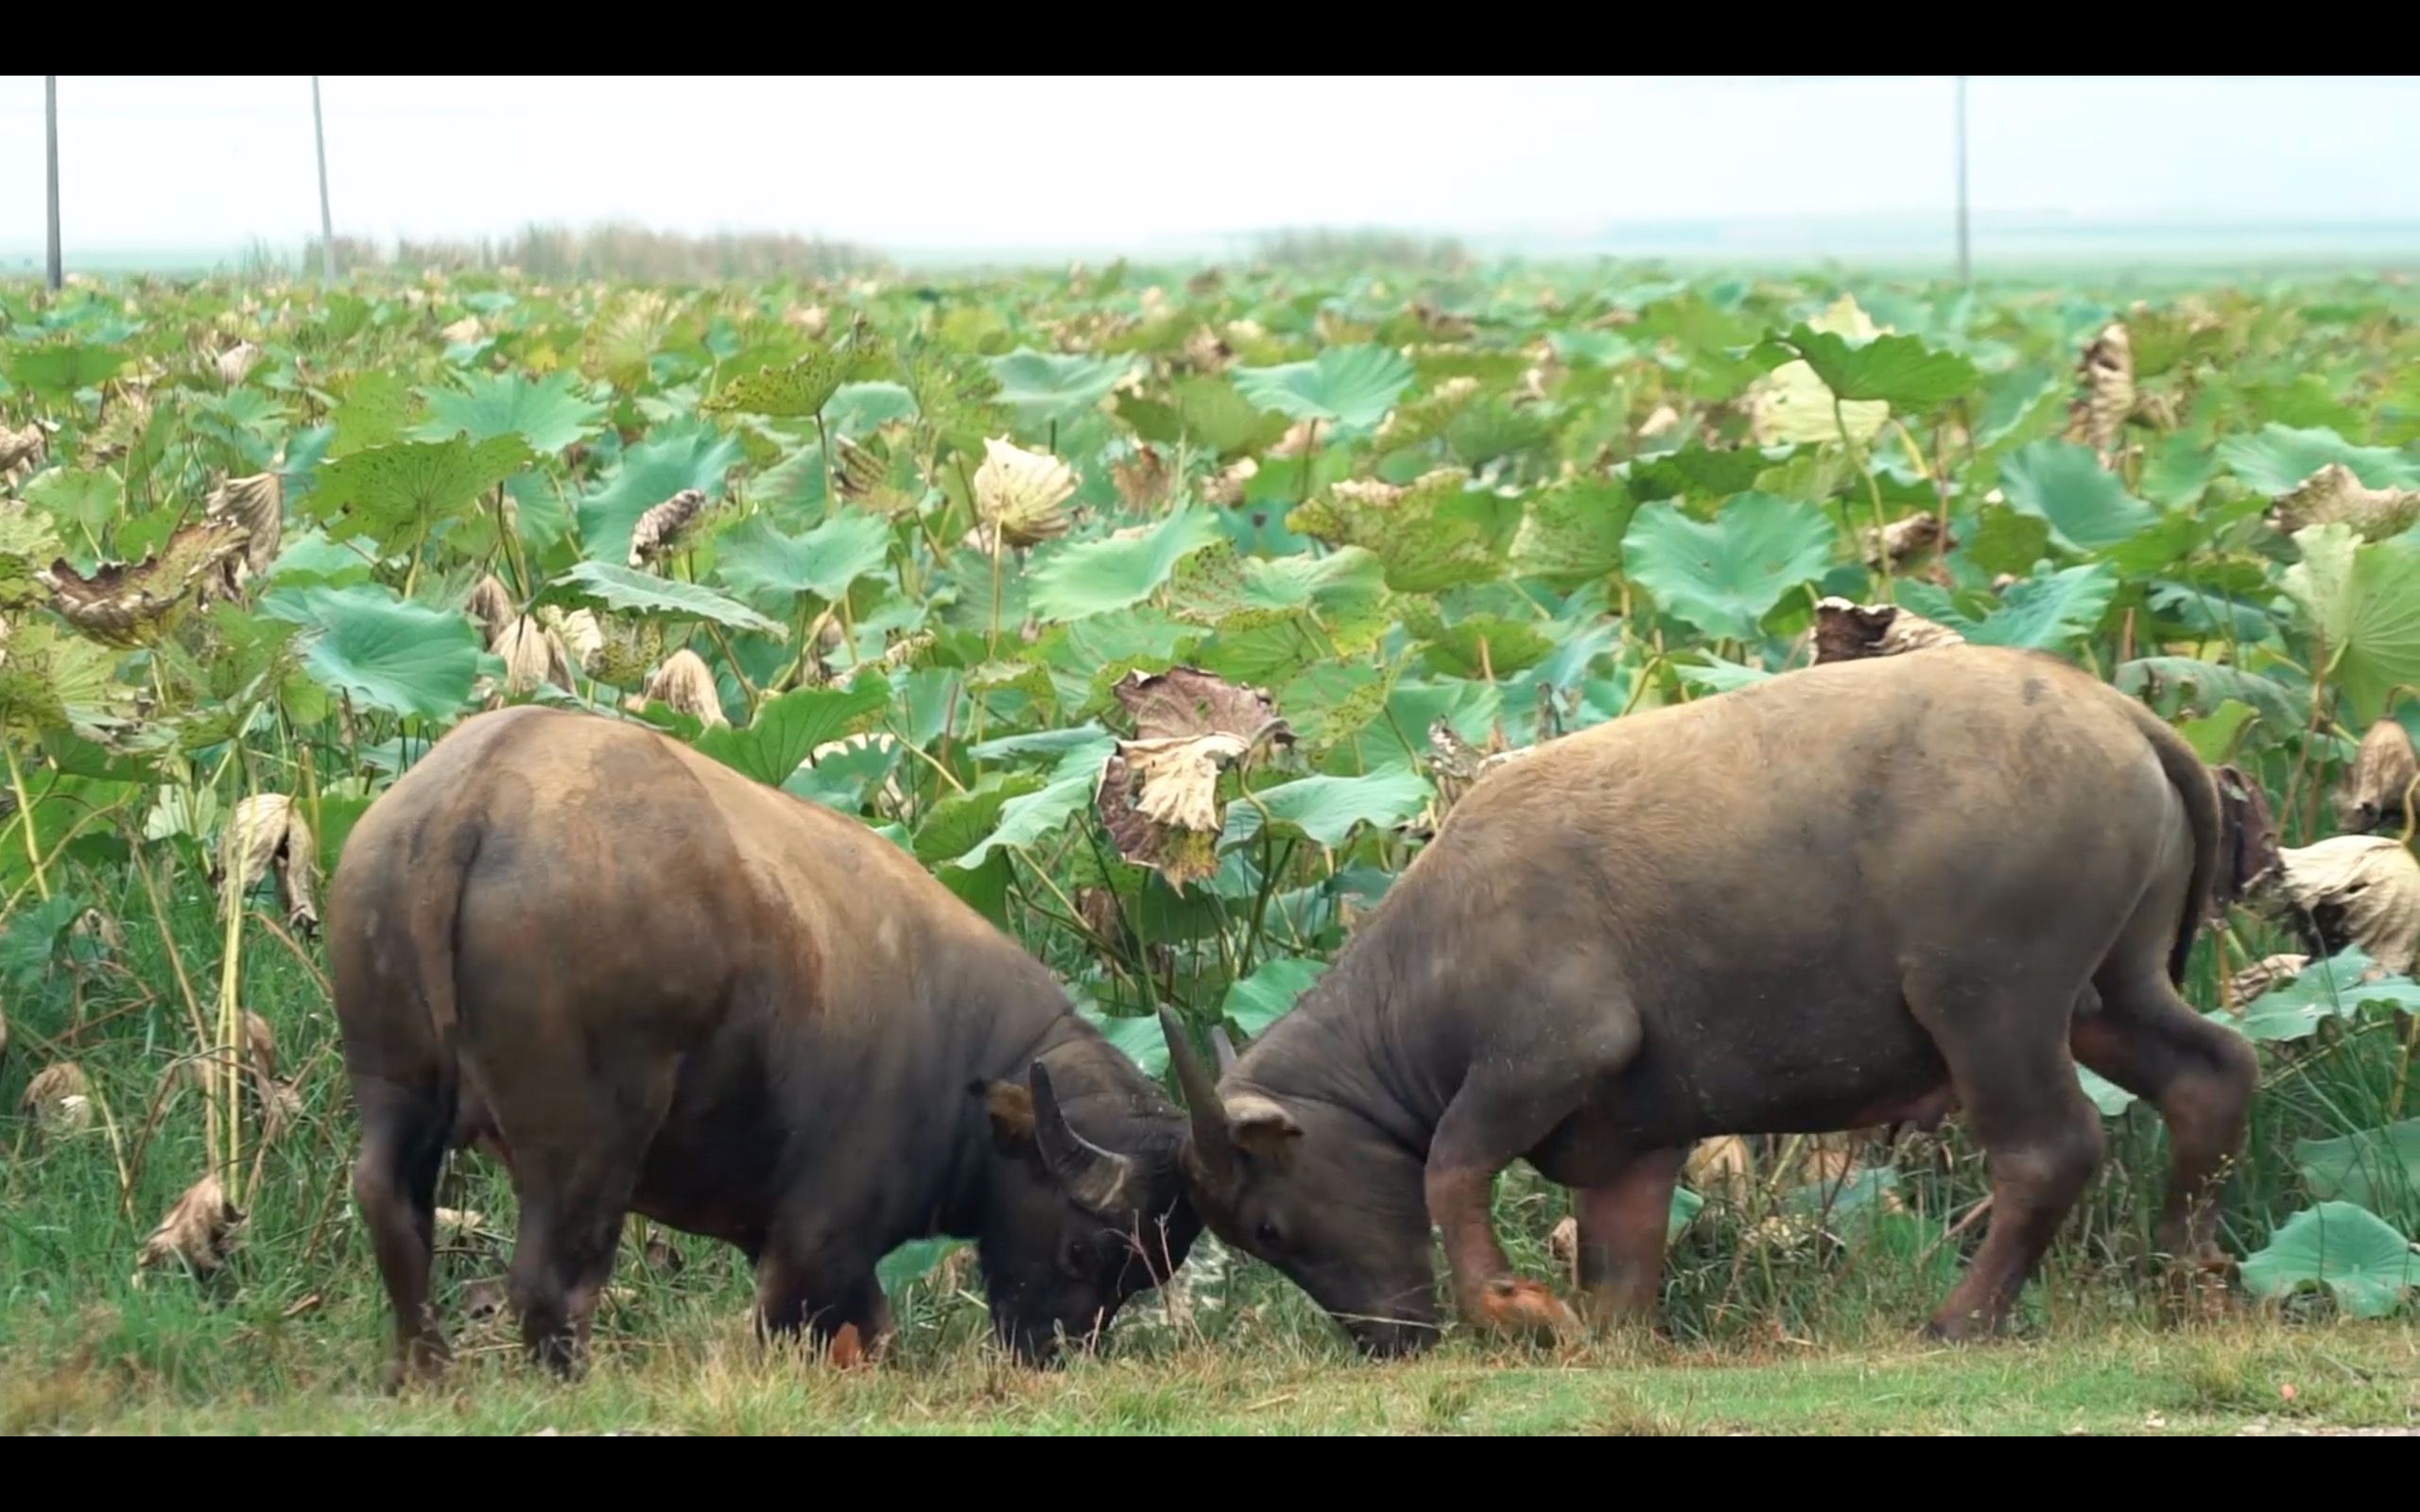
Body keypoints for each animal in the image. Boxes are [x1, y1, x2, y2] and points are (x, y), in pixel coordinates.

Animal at [331, 696, 1200, 1383]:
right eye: (1090, 1251)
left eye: (1141, 1277)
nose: (1054, 1354)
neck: (960, 1058)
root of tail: (474, 796)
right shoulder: (820, 1240)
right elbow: (821, 1324)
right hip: (588, 1136)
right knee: (552, 1278)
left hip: (394, 1085)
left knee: (394, 1210)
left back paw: (426, 1373)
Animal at [1151, 643, 2245, 1354]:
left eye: (1268, 1229)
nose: (1387, 1340)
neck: (1429, 960)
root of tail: (2121, 716)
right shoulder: (1631, 1141)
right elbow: (1620, 1259)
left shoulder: (1551, 1053)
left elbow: (1450, 1169)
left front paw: (1509, 1304)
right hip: (2109, 993)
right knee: (2211, 1075)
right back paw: (2184, 1279)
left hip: (1990, 1005)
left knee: (2048, 1150)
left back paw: (1959, 1321)